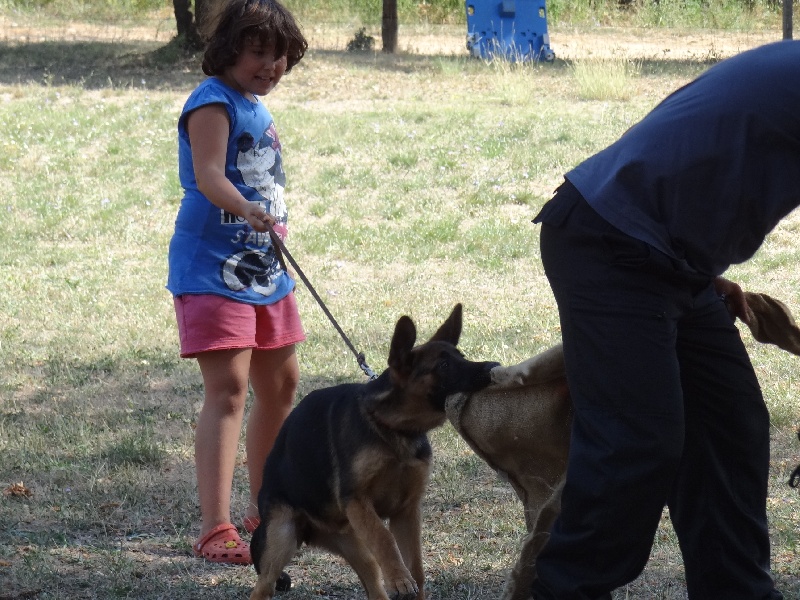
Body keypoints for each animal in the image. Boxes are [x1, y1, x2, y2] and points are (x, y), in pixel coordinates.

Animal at [250, 304, 500, 600]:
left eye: (461, 356)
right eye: (444, 365)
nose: (494, 367)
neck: (392, 428)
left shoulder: (406, 512)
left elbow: (416, 568)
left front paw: (406, 580)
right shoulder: (358, 501)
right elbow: (384, 537)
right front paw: (399, 579)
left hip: (355, 545)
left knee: (372, 578)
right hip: (282, 541)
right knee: (263, 585)